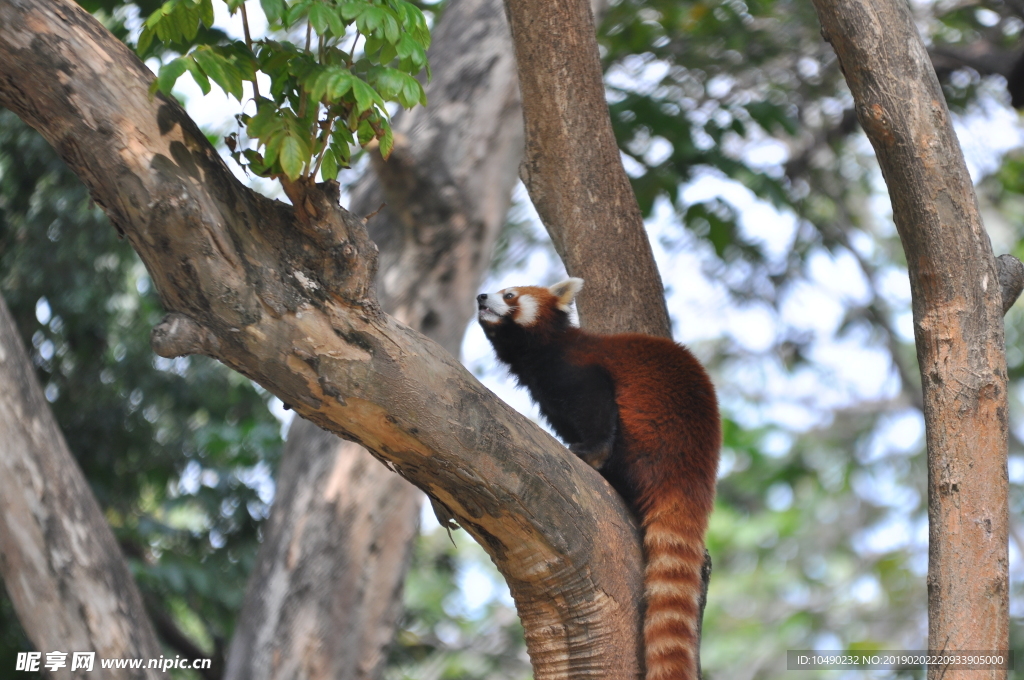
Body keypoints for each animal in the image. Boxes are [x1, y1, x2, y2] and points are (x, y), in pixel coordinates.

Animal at [477, 276, 720, 680]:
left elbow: (594, 404)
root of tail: (693, 477)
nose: (481, 296)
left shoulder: (575, 369)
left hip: (650, 438)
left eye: (509, 294)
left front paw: (591, 453)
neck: (537, 351)